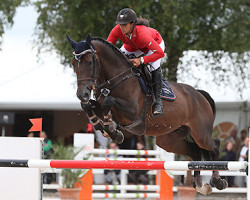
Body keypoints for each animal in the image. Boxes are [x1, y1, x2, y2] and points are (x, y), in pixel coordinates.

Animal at [67, 34, 229, 194]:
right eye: (73, 63)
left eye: (89, 62)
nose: (82, 94)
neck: (116, 78)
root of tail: (199, 94)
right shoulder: (101, 106)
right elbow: (88, 106)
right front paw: (107, 130)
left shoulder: (131, 112)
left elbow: (108, 101)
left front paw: (112, 131)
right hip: (169, 140)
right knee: (195, 152)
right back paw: (200, 185)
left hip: (200, 134)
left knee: (214, 145)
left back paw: (217, 181)